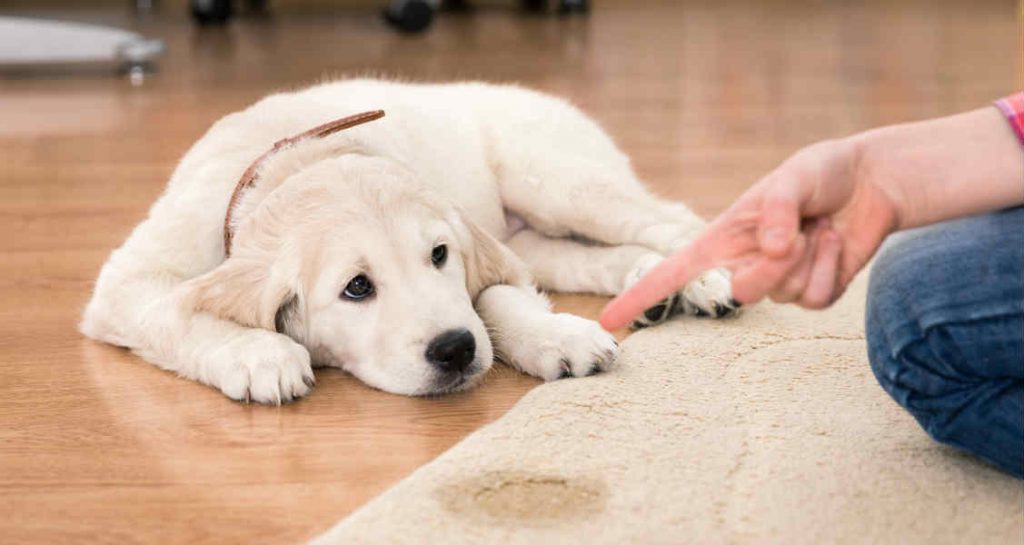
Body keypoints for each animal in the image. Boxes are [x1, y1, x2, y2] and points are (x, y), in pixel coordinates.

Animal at [79, 78, 737, 401]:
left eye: (439, 255)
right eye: (356, 288)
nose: (455, 351)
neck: (294, 160)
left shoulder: (482, 255)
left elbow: (498, 299)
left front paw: (556, 336)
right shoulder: (127, 283)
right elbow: (175, 313)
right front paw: (258, 354)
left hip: (557, 180)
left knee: (670, 218)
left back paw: (703, 280)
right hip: (537, 233)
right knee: (586, 256)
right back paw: (649, 286)